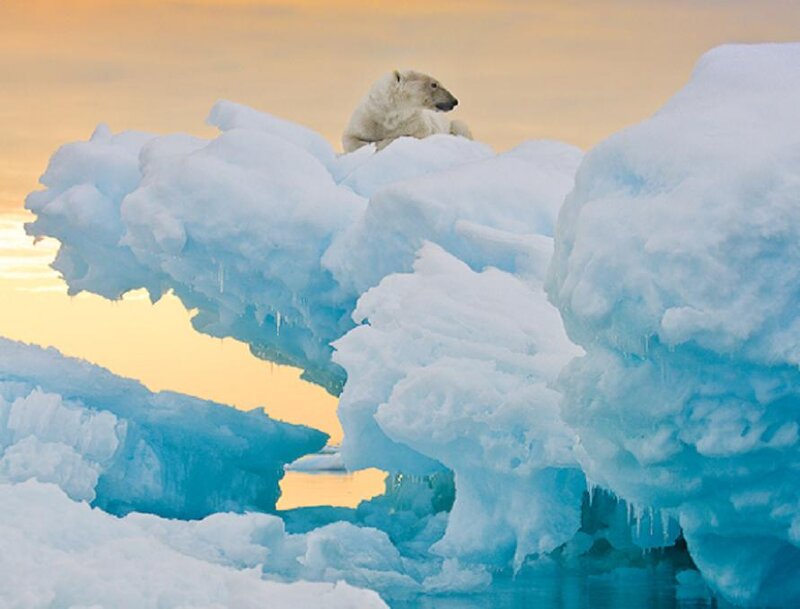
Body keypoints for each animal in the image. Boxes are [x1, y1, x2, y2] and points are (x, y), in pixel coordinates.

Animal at [342, 70, 472, 153]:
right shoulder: (366, 119)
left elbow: (409, 135)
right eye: (434, 84)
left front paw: (379, 144)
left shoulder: (414, 122)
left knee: (459, 125)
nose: (454, 101)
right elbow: (349, 138)